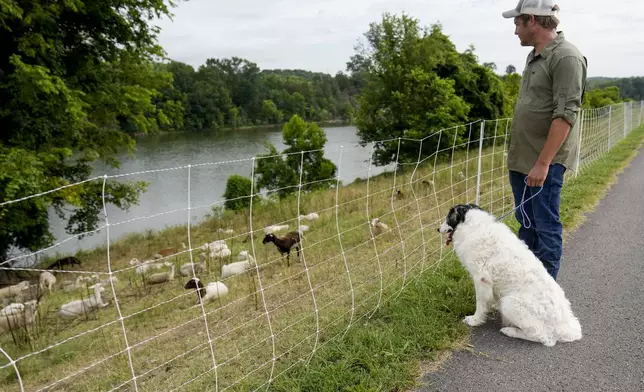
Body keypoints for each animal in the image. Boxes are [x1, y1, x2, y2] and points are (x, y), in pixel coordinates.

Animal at [438, 204, 584, 348]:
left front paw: (474, 320)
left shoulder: (481, 279)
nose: (438, 229)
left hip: (510, 303)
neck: (472, 225)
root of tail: (565, 327)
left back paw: (510, 331)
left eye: (448, 217)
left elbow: (480, 304)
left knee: (544, 338)